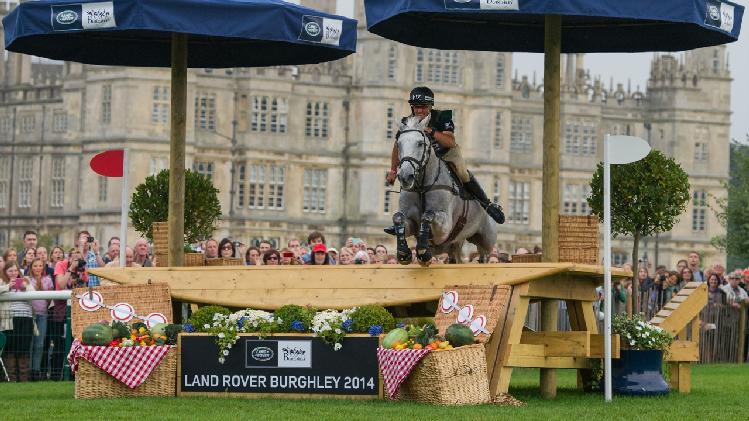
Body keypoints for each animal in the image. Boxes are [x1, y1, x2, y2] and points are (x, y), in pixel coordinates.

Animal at [392, 114, 496, 266]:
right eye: (399, 144)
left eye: (420, 143)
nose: (405, 177)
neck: (422, 187)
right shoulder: (410, 220)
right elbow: (398, 218)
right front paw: (404, 253)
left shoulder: (445, 227)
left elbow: (428, 215)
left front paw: (423, 252)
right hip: (456, 244)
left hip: (486, 239)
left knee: (485, 254)